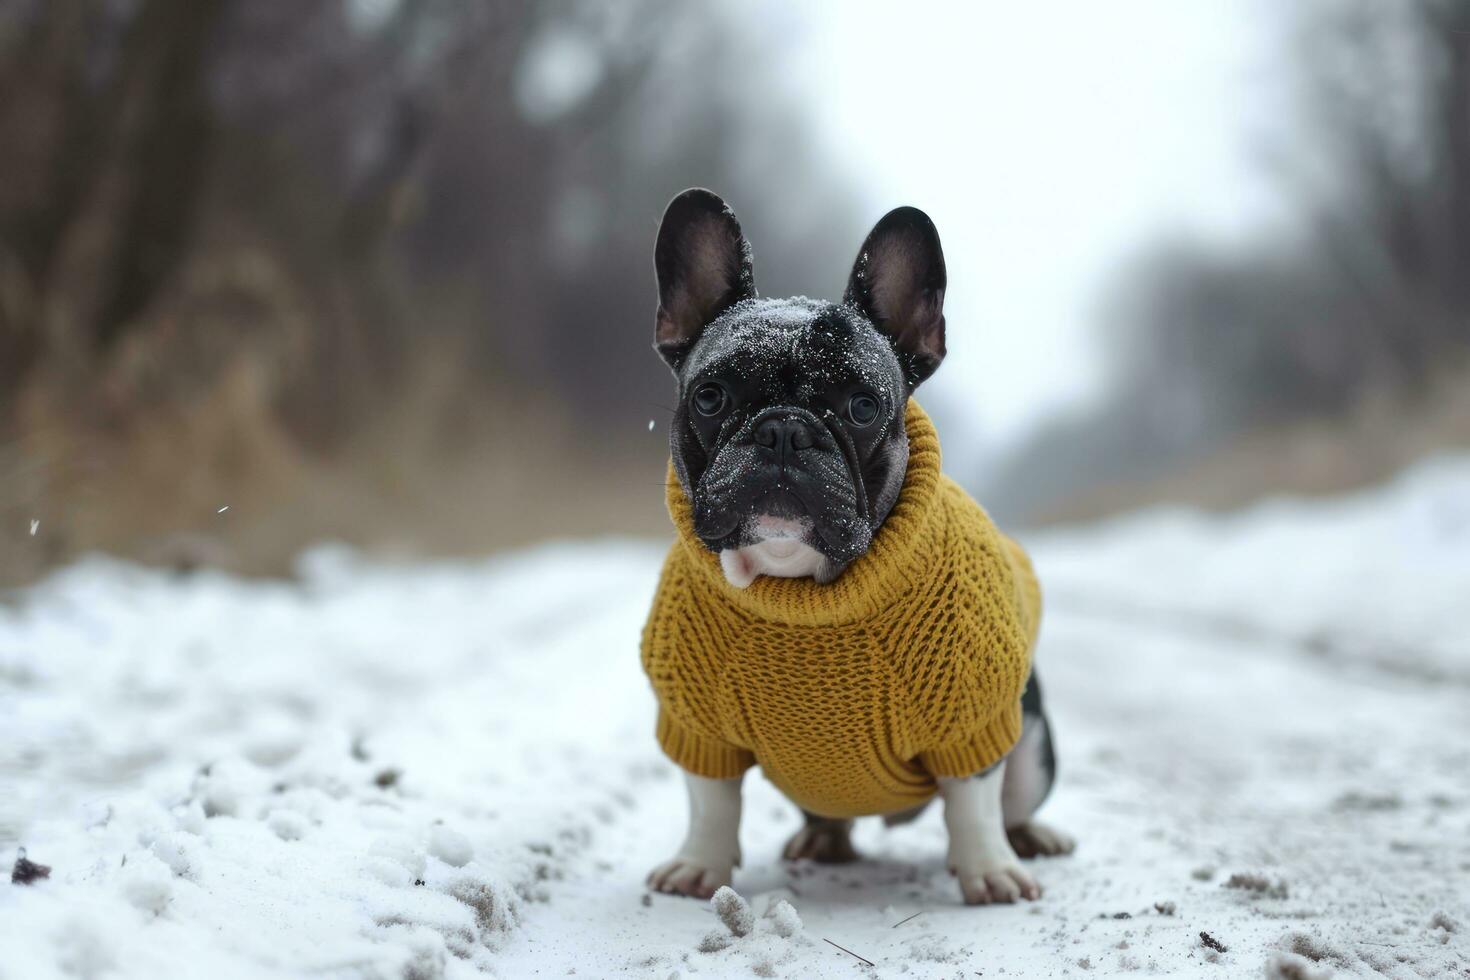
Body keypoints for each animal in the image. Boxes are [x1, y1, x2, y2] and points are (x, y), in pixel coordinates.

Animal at [637, 188, 1076, 910]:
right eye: (710, 396)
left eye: (863, 406)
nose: (784, 430)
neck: (799, 584)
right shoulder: (695, 723)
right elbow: (711, 801)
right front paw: (700, 865)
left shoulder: (971, 715)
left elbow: (973, 802)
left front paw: (988, 871)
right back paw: (823, 840)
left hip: (1033, 741)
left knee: (1010, 800)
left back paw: (1030, 838)